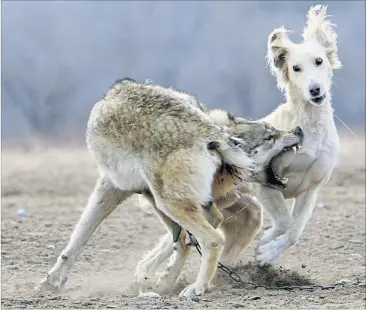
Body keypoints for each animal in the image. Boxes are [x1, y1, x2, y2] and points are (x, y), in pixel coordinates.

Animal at [36, 78, 300, 298]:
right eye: (270, 136)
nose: (298, 130)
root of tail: (213, 133)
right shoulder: (157, 195)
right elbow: (179, 240)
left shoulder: (113, 185)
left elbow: (80, 235)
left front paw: (52, 281)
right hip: (171, 201)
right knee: (213, 227)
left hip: (169, 202)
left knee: (213, 239)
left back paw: (196, 287)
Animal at [253, 3, 342, 262]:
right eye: (296, 68)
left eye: (319, 60)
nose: (315, 90)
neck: (311, 129)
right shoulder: (266, 183)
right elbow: (284, 223)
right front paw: (263, 246)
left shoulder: (311, 189)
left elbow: (295, 231)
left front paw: (269, 251)